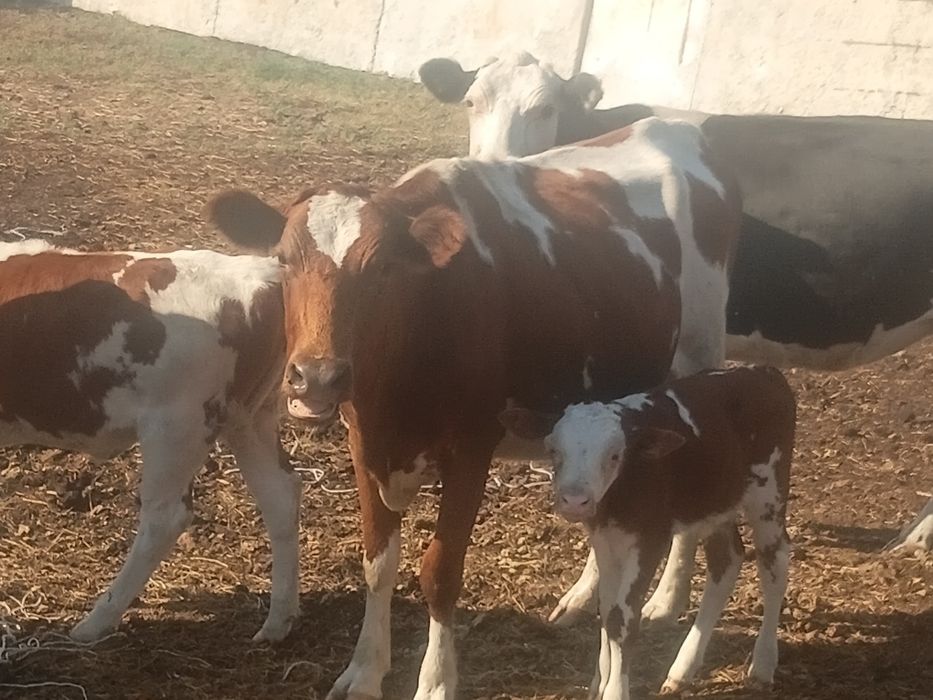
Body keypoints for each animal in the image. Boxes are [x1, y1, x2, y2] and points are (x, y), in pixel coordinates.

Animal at [0, 240, 300, 643]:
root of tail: (262, 274)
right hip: (250, 418)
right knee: (280, 496)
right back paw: (277, 622)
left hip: (176, 427)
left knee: (164, 519)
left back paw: (96, 621)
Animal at [208, 116, 741, 700]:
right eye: (283, 260)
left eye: (383, 268)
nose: (318, 376)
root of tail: (670, 126)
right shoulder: (365, 442)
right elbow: (377, 563)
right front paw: (365, 670)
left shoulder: (470, 449)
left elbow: (441, 571)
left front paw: (436, 681)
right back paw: (585, 597)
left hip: (697, 361)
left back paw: (666, 599)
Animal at [499, 365, 795, 698]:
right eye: (553, 450)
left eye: (615, 455)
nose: (575, 500)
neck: (620, 493)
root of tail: (762, 372)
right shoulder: (606, 540)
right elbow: (608, 611)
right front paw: (599, 684)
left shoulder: (650, 539)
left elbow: (622, 620)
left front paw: (615, 691)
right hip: (716, 503)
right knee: (727, 560)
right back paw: (683, 669)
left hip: (768, 495)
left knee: (774, 565)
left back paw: (763, 663)